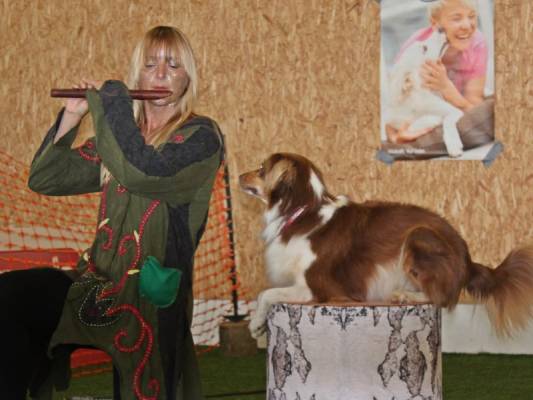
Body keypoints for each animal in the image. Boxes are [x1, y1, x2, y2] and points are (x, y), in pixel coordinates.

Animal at [239, 153, 533, 338]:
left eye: (261, 168)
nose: (240, 175)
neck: (302, 212)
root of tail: (467, 257)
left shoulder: (315, 287)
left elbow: (266, 293)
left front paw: (256, 325)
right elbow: (265, 293)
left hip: (419, 235)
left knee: (439, 298)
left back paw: (406, 295)